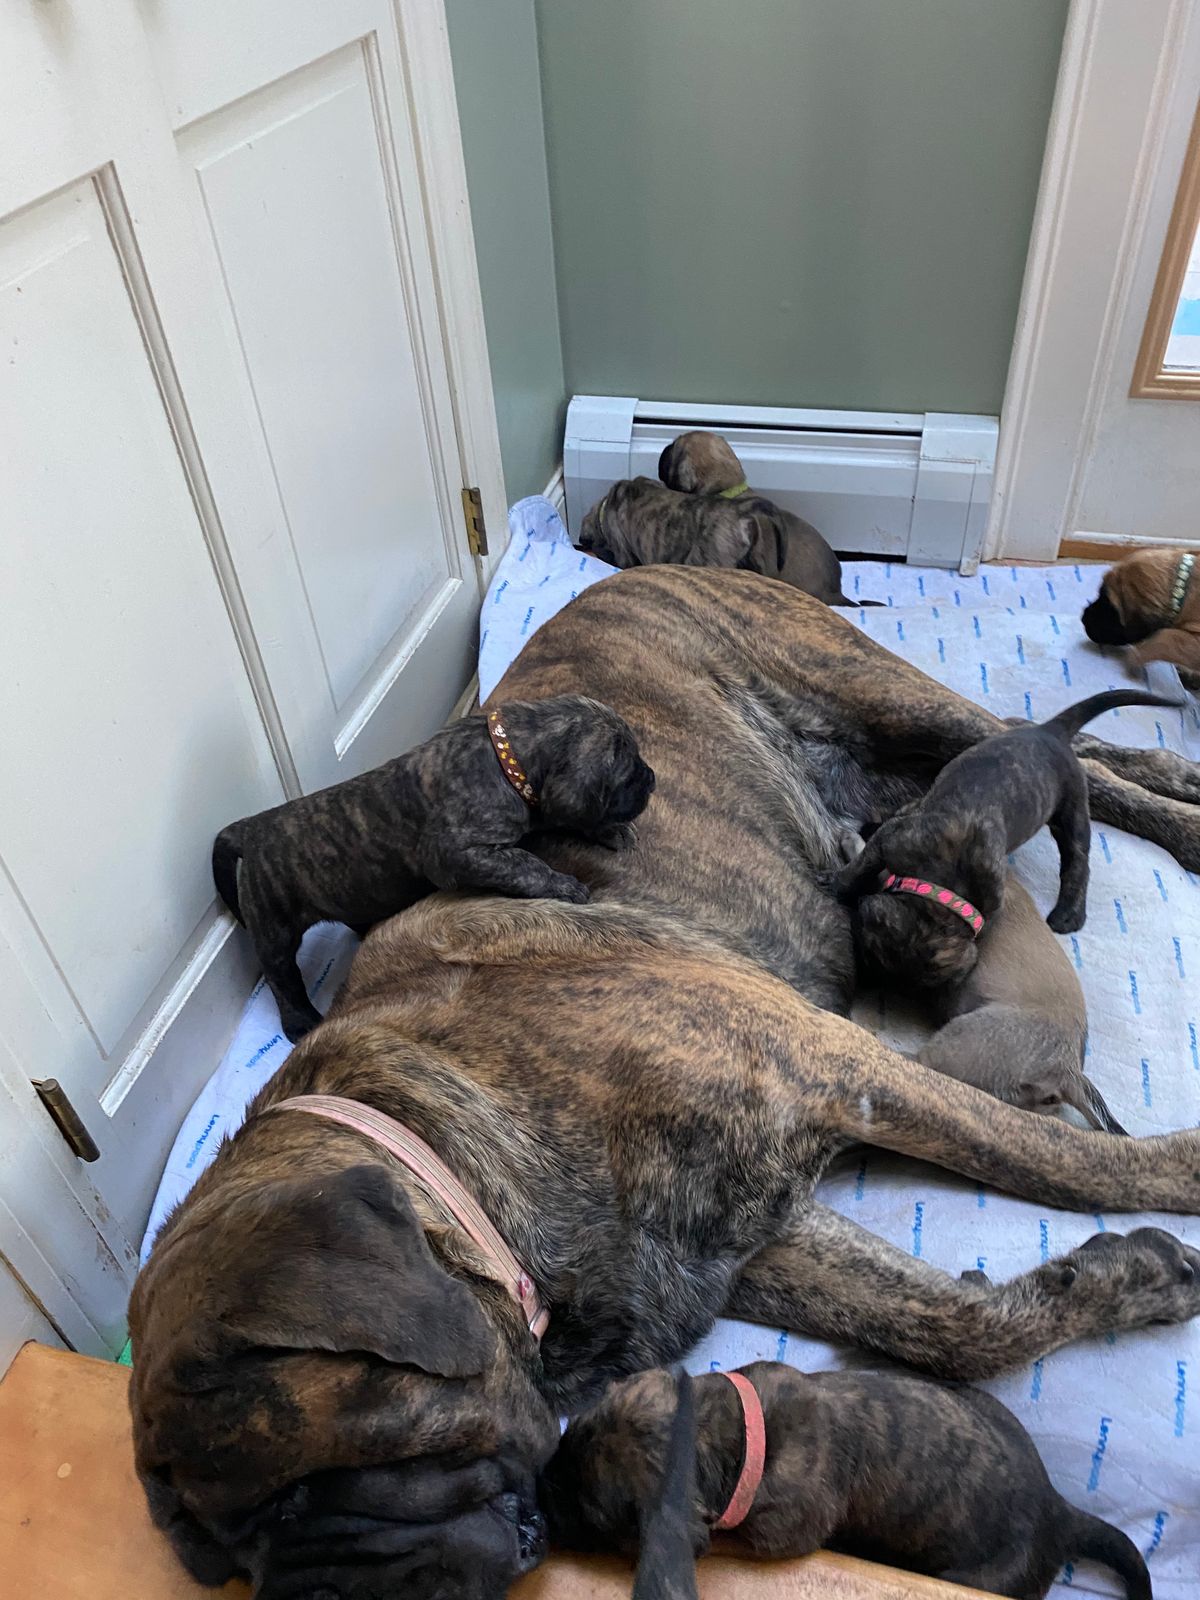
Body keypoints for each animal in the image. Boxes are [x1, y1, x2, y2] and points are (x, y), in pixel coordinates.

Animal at [211, 694, 654, 1040]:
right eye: (627, 773)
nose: (651, 779)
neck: (506, 758)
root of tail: (251, 827)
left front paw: (609, 830)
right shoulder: (457, 854)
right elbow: (525, 864)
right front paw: (563, 884)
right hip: (274, 925)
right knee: (280, 975)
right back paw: (300, 1021)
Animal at [542, 1362, 1152, 1599]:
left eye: (596, 1516)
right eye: (571, 1434)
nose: (538, 1497)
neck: (736, 1433)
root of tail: (1058, 1512)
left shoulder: (776, 1532)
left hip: (986, 1578)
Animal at [833, 689, 1182, 990]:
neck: (947, 889)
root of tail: (1052, 731)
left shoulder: (894, 840)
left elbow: (863, 863)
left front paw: (842, 871)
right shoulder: (894, 837)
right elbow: (865, 861)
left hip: (1072, 807)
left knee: (1077, 860)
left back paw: (1069, 913)